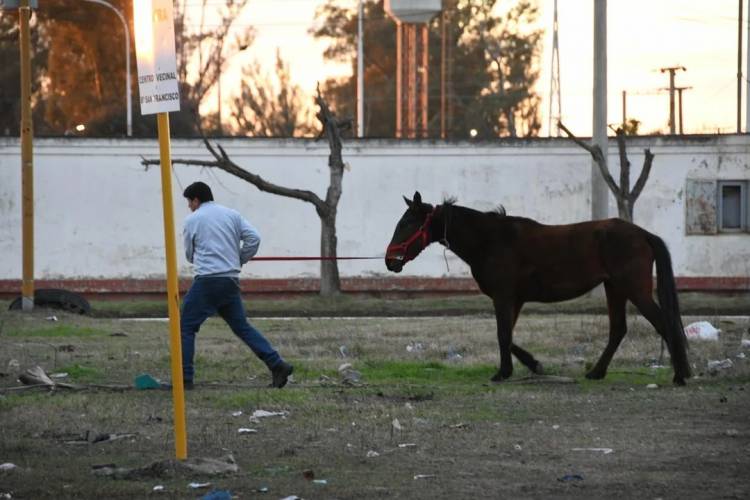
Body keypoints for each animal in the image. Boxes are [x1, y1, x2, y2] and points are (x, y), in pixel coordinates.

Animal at [385, 191, 691, 385]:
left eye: (408, 223)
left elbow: (503, 335)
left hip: (634, 289)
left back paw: (681, 375)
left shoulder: (503, 297)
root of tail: (643, 234)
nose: (390, 261)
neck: (490, 240)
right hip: (614, 288)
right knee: (618, 329)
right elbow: (508, 336)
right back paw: (597, 373)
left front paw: (504, 372)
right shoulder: (515, 300)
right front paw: (531, 364)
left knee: (663, 323)